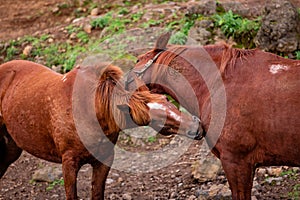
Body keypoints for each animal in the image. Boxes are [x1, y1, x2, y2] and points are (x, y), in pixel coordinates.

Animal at [0, 59, 202, 200]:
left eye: (166, 100)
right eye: (157, 119)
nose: (197, 126)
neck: (91, 109)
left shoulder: (103, 161)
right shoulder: (69, 163)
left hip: (11, 149)